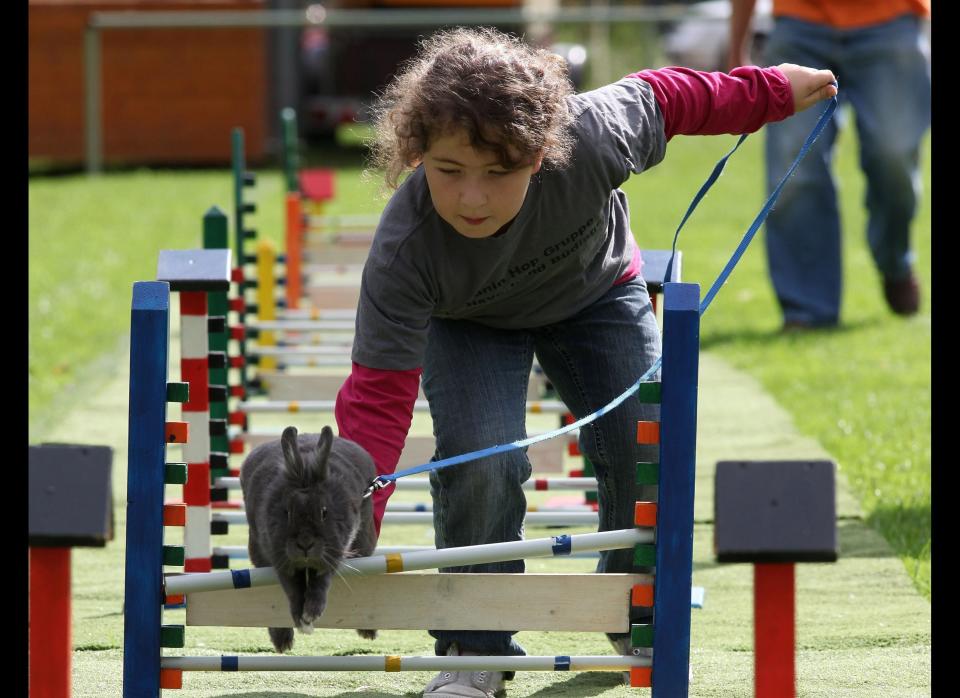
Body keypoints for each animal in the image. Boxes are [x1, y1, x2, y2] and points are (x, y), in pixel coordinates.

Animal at [240, 424, 378, 652]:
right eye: (286, 512)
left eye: (324, 511)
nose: (305, 544)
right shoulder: (278, 557)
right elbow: (292, 588)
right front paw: (300, 618)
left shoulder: (333, 553)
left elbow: (320, 581)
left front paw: (311, 613)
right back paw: (282, 643)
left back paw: (368, 633)